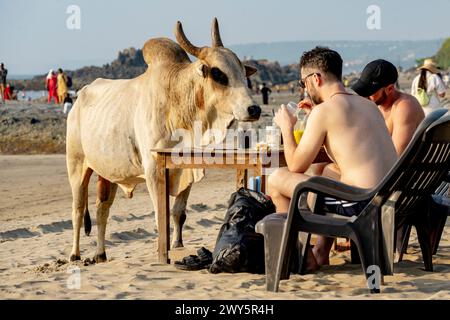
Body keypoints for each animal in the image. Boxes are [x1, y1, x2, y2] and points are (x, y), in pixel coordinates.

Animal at [64, 18, 258, 262]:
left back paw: (100, 253)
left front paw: (177, 245)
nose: (254, 109)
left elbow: (178, 213)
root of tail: (79, 98)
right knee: (78, 209)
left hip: (107, 172)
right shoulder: (153, 169)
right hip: (77, 165)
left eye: (243, 72)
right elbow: (160, 215)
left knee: (102, 209)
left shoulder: (188, 169)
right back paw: (75, 254)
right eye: (218, 74)